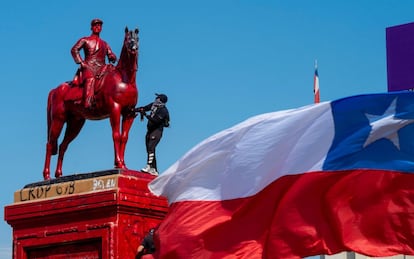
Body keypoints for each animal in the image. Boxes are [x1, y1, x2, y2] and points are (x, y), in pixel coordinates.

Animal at [43, 27, 138, 180]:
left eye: (137, 38)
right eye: (128, 38)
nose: (134, 48)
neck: (125, 78)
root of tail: (55, 90)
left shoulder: (129, 113)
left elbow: (124, 137)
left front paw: (123, 165)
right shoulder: (115, 110)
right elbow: (116, 135)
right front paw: (118, 163)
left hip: (75, 123)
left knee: (63, 145)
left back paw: (59, 174)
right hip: (58, 120)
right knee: (50, 144)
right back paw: (46, 176)